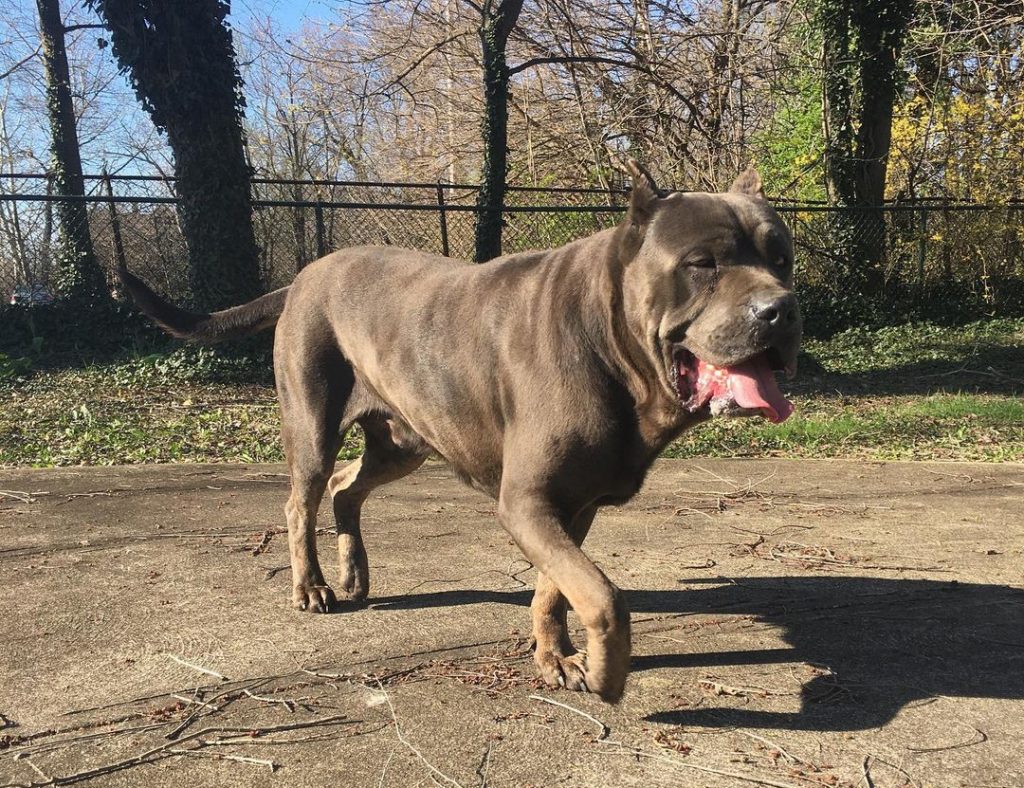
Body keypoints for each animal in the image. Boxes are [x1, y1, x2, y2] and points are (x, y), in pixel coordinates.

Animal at [116, 161, 794, 699]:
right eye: (702, 263)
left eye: (782, 258)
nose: (781, 309)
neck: (614, 346)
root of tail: (303, 276)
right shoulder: (528, 502)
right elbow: (602, 596)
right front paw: (607, 671)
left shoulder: (569, 507)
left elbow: (555, 588)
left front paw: (555, 657)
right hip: (312, 423)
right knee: (301, 499)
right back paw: (311, 586)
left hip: (405, 441)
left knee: (345, 487)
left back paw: (354, 572)